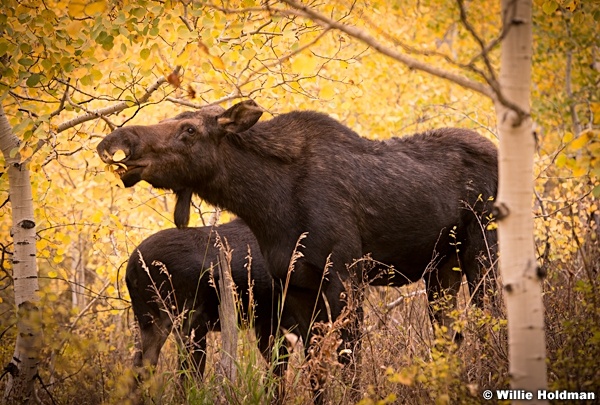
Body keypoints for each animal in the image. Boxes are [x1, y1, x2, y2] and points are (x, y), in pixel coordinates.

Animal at [98, 99, 500, 400]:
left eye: (190, 130)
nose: (118, 142)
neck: (267, 206)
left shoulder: (344, 276)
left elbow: (346, 362)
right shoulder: (295, 290)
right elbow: (313, 371)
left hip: (483, 249)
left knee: (490, 320)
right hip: (441, 268)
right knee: (451, 336)